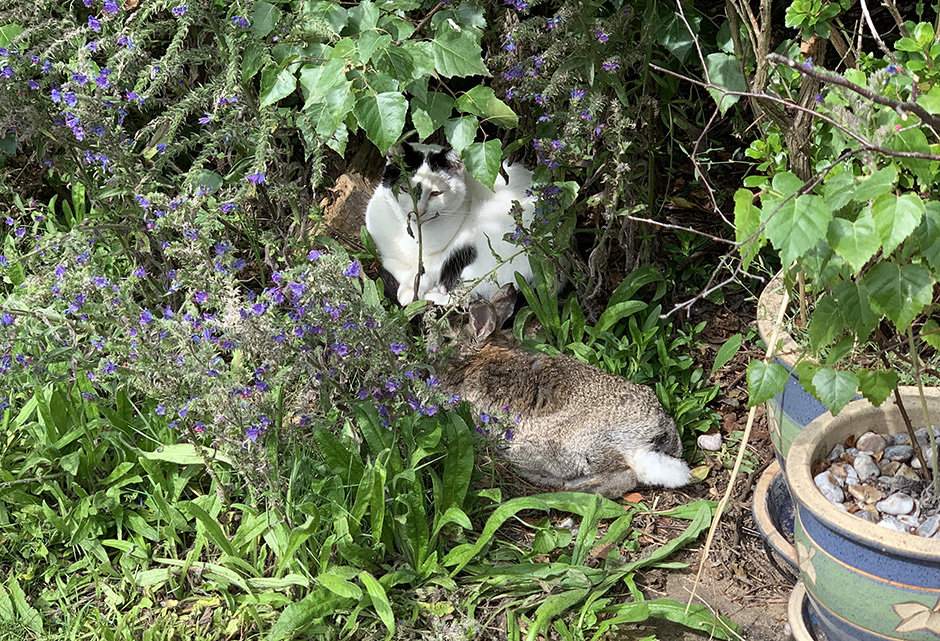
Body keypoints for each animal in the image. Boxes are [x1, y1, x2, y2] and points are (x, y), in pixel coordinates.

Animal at [364, 143, 532, 308]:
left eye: (435, 194)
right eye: (405, 189)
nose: (419, 211)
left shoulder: (439, 255)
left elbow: (424, 268)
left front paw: (410, 290)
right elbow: (390, 262)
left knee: (466, 294)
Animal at [440, 282, 692, 498]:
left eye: (445, 339)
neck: (479, 355)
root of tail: (652, 440)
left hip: (571, 450)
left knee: (623, 476)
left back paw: (575, 491)